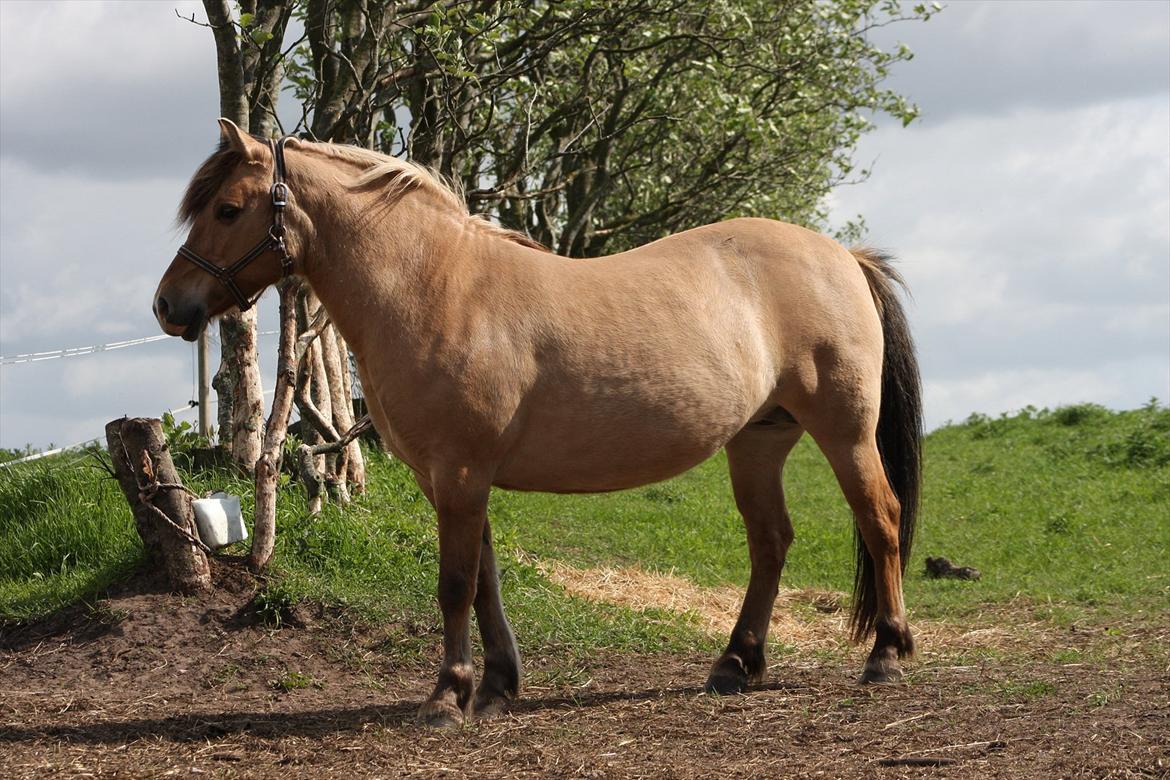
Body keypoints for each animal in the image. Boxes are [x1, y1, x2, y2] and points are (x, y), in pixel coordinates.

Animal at [153, 120, 921, 725]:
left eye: (228, 208)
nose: (168, 305)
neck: (435, 286)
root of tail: (842, 256)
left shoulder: (460, 472)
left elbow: (455, 584)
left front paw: (447, 695)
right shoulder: (452, 479)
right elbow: (485, 579)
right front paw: (495, 685)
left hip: (845, 432)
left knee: (879, 519)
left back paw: (885, 653)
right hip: (759, 441)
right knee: (770, 542)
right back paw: (736, 663)